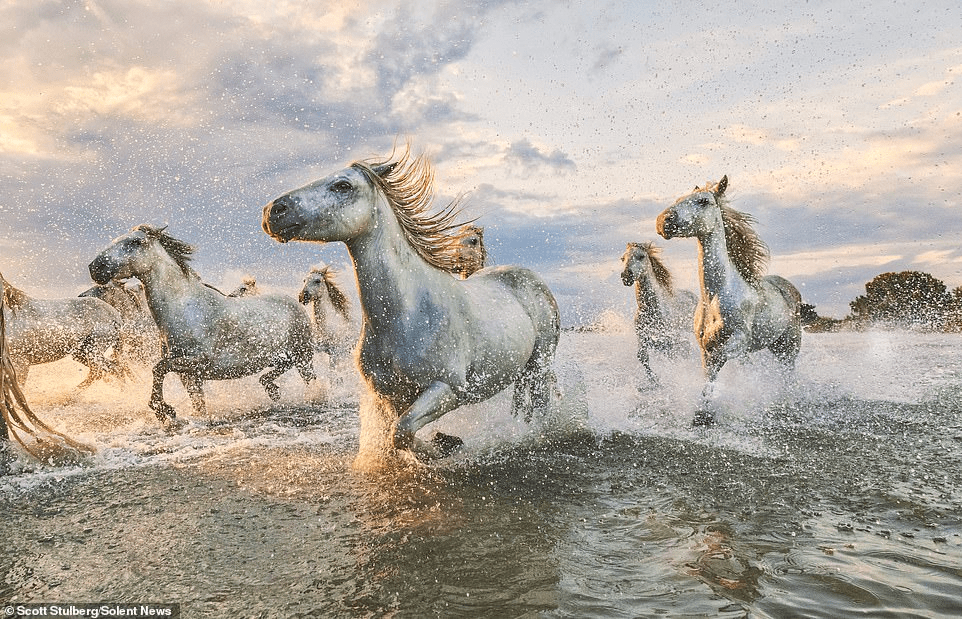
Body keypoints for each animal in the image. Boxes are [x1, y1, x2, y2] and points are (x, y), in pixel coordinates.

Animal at [620, 245, 692, 386]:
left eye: (641, 256)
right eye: (623, 258)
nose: (626, 276)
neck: (650, 310)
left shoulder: (670, 337)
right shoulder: (642, 336)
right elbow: (642, 355)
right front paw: (654, 380)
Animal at [652, 177, 804, 424]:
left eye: (703, 201)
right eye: (679, 199)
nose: (663, 221)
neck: (714, 297)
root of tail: (789, 288)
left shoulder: (738, 341)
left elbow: (719, 364)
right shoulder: (704, 347)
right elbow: (709, 376)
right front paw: (702, 415)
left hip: (789, 345)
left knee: (788, 374)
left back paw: (787, 403)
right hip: (774, 345)